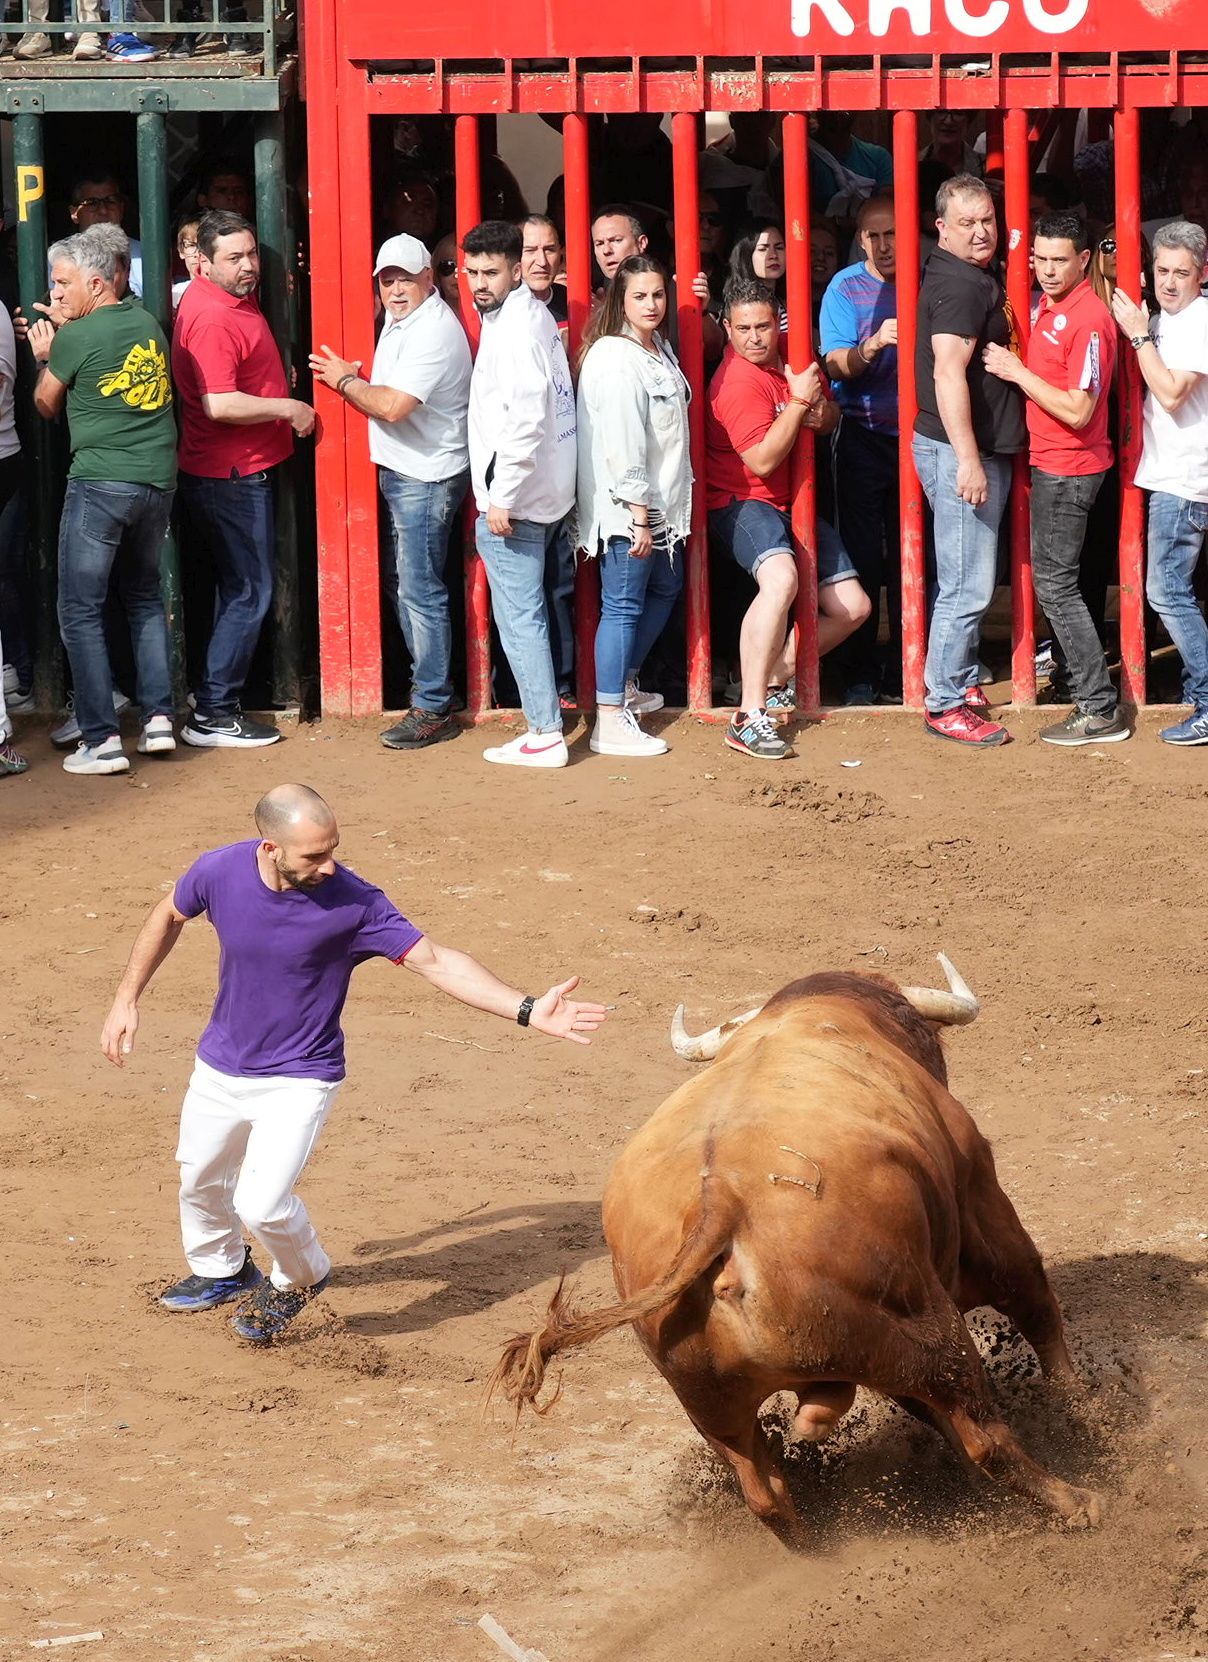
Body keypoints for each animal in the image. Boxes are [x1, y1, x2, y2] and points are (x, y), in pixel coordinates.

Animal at [491, 963, 1103, 1542]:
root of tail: (719, 1202)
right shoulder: (983, 1205)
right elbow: (1035, 1303)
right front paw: (1082, 1408)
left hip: (711, 1407)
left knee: (766, 1492)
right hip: (933, 1334)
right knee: (982, 1434)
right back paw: (1079, 1501)